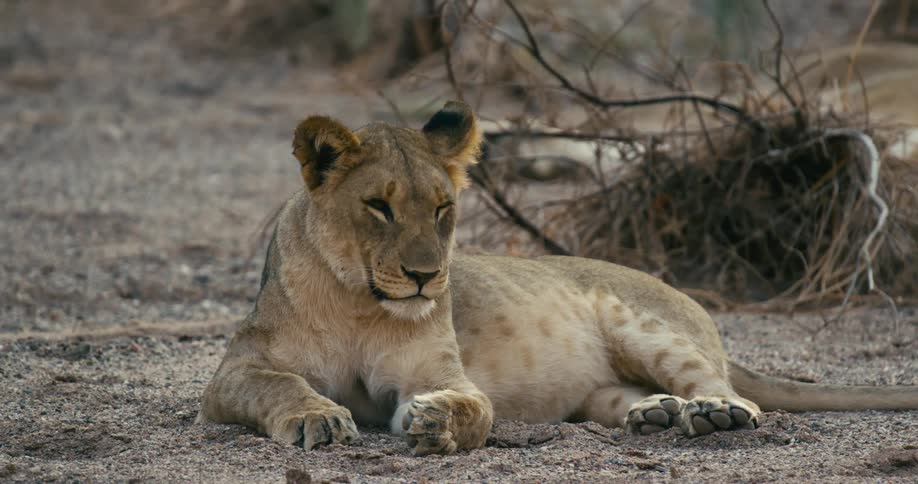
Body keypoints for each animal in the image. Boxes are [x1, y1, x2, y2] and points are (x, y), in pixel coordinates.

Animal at [198, 101, 918, 456]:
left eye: (442, 208)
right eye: (379, 205)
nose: (427, 277)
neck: (358, 302)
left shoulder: (439, 372)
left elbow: (475, 409)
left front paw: (438, 424)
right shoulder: (233, 372)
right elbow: (280, 386)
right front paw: (318, 419)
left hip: (644, 326)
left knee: (732, 392)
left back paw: (714, 414)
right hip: (597, 391)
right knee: (626, 399)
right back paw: (658, 415)